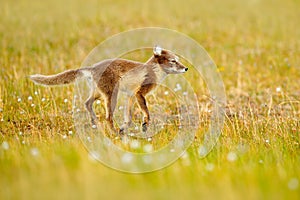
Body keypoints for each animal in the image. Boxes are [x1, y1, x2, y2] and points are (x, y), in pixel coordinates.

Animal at [29, 46, 188, 135]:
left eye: (178, 60)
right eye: (173, 61)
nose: (186, 68)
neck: (154, 71)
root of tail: (93, 67)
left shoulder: (131, 95)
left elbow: (128, 117)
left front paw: (125, 128)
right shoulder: (139, 93)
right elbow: (147, 113)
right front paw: (143, 126)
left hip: (100, 94)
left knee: (87, 103)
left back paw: (95, 124)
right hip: (111, 96)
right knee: (107, 117)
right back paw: (113, 132)